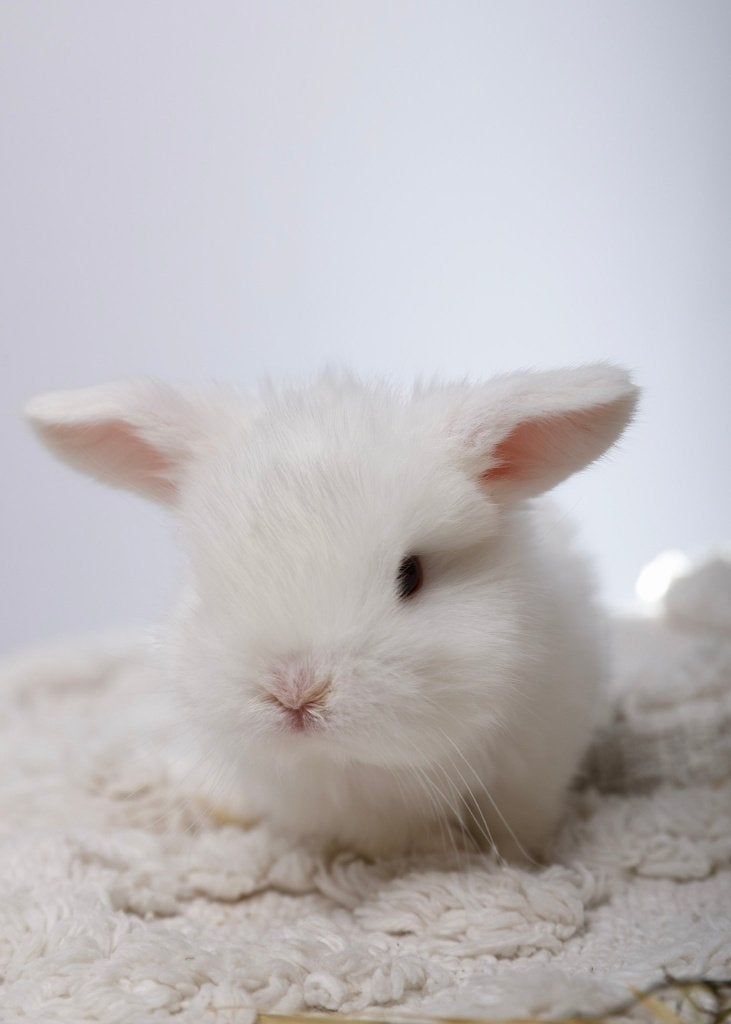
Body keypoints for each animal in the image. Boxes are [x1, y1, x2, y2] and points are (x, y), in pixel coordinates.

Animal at [25, 363, 638, 862]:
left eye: (411, 574)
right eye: (210, 579)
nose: (295, 693)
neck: (361, 766)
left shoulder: (532, 771)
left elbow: (518, 832)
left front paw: (525, 866)